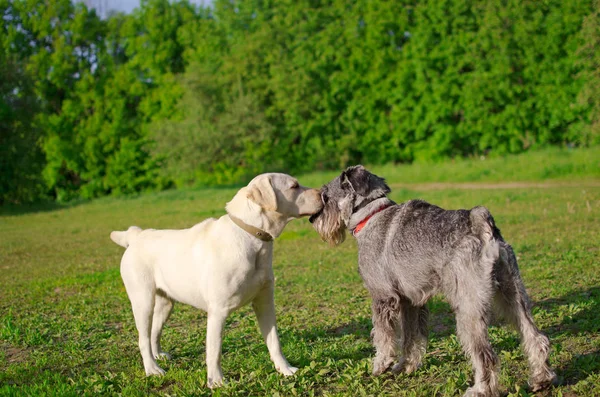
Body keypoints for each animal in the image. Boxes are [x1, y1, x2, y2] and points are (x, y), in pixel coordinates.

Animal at [109, 173, 322, 386]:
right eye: (294, 186)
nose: (323, 193)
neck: (251, 237)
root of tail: (136, 235)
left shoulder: (265, 302)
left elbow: (274, 341)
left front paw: (285, 369)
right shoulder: (218, 311)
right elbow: (214, 351)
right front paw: (217, 382)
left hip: (165, 304)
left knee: (154, 332)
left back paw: (158, 356)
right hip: (143, 301)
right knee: (143, 338)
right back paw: (152, 369)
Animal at [310, 165, 556, 396]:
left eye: (325, 196)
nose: (313, 219)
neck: (371, 215)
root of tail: (484, 229)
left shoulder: (383, 297)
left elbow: (383, 335)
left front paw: (381, 364)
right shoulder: (410, 301)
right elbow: (411, 338)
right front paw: (405, 366)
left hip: (468, 309)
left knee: (485, 355)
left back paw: (480, 389)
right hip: (512, 295)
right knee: (535, 337)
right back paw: (541, 379)